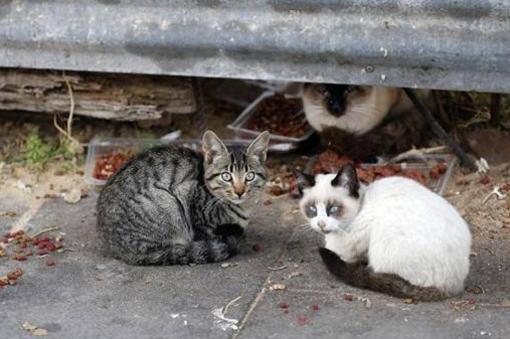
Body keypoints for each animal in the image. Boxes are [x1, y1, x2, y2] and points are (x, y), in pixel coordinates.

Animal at [96, 131, 270, 266]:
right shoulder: (187, 195)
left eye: (250, 176)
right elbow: (207, 233)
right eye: (226, 176)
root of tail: (115, 247)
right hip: (167, 202)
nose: (240, 191)